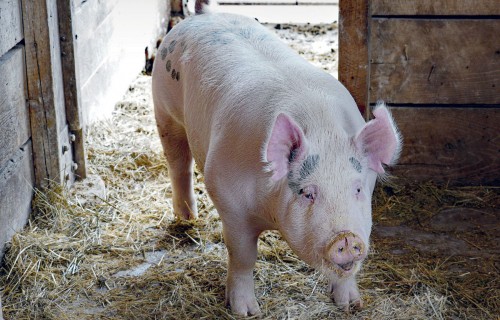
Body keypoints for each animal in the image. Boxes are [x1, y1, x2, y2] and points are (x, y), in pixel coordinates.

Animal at [150, 10, 400, 318]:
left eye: (357, 189)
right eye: (307, 193)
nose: (346, 237)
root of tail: (200, 17)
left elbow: (346, 273)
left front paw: (352, 304)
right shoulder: (229, 201)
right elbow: (242, 257)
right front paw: (246, 312)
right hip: (164, 110)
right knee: (178, 163)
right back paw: (187, 217)